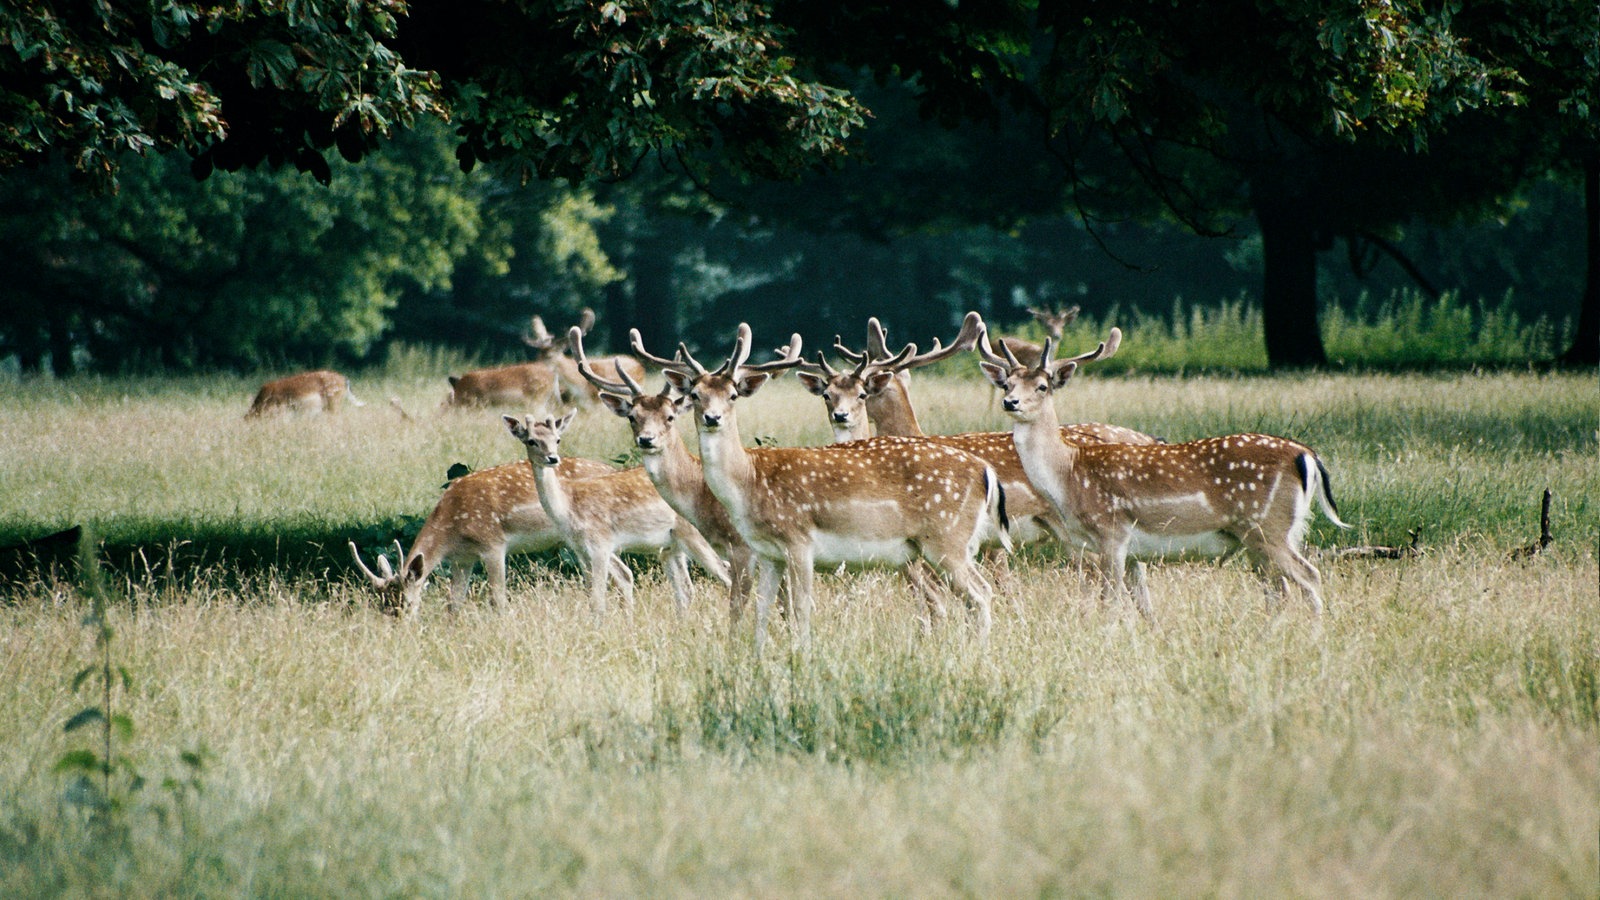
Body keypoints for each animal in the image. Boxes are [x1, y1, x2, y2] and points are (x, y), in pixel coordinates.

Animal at [350, 451, 617, 611]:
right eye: (382, 605)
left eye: (406, 602)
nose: (400, 628)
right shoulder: (462, 559)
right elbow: (454, 602)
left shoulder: (493, 544)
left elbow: (497, 598)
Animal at [502, 408, 729, 611]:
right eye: (531, 440)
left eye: (557, 439)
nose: (552, 458)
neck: (567, 509)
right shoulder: (580, 548)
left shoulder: (600, 543)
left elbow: (599, 598)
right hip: (672, 546)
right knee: (686, 589)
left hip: (696, 536)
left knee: (725, 573)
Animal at [640, 325, 1004, 646]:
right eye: (695, 394)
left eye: (732, 395)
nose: (712, 418)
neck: (749, 481)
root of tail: (985, 472)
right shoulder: (768, 552)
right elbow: (762, 610)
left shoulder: (798, 540)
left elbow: (800, 609)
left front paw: (801, 657)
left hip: (946, 539)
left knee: (980, 594)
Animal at [972, 320, 1350, 614]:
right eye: (1008, 383)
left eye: (1042, 386)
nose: (1010, 402)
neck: (1068, 475)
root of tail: (1307, 456)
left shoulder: (1112, 532)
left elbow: (1111, 603)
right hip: (1273, 533)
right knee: (1281, 588)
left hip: (1267, 526)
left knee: (1309, 577)